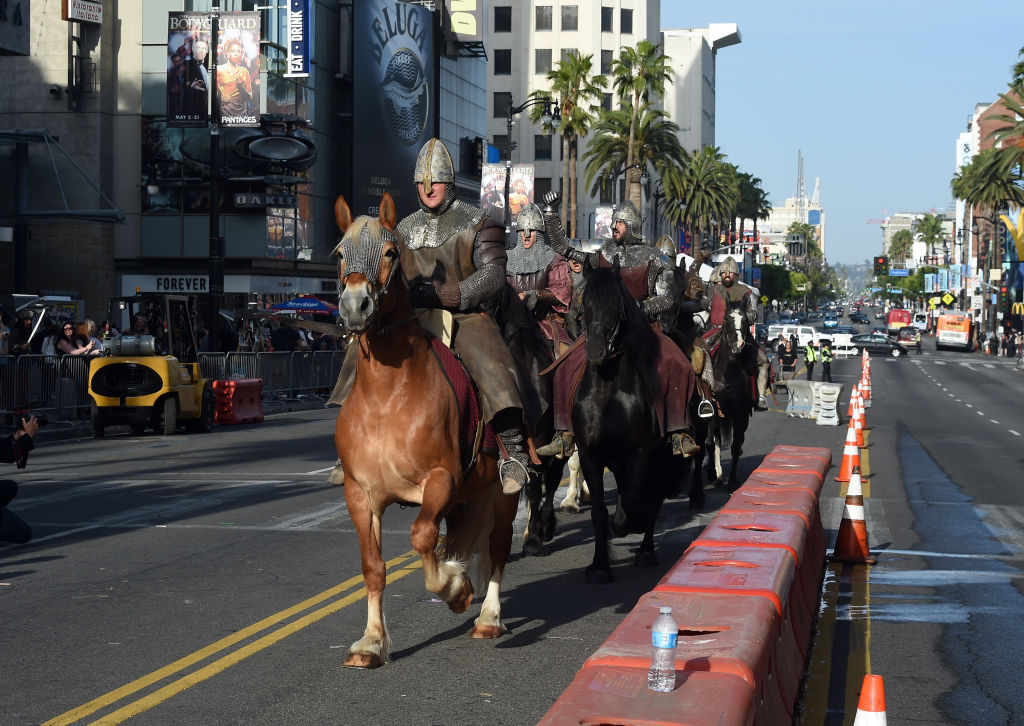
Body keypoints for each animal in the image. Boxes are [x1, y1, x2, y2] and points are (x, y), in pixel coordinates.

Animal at [333, 193, 516, 667]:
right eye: (340, 254)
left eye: (391, 251)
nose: (354, 307)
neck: (387, 396)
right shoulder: (361, 494)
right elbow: (374, 566)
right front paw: (371, 642)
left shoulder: (441, 481)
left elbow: (422, 537)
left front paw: (456, 589)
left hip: (502, 492)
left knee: (499, 544)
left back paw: (489, 617)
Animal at [573, 266, 675, 581]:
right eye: (585, 302)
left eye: (616, 304)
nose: (595, 350)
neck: (608, 392)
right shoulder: (590, 454)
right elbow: (598, 512)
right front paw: (599, 566)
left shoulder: (641, 451)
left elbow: (634, 499)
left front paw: (630, 524)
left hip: (661, 456)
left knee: (653, 497)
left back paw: (646, 550)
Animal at [708, 296, 757, 489]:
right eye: (727, 319)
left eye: (745, 320)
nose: (738, 345)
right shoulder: (713, 412)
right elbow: (713, 442)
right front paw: (716, 474)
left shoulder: (741, 413)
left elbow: (736, 445)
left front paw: (733, 481)